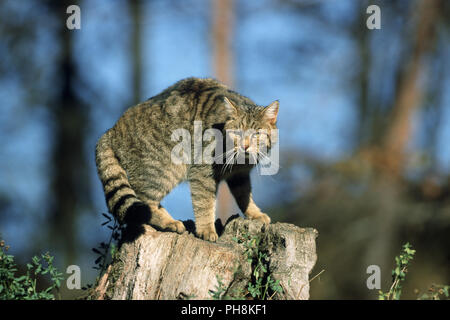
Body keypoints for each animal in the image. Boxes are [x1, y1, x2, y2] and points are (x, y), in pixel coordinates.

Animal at [95, 78, 278, 242]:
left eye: (257, 134)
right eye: (237, 133)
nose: (245, 146)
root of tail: (111, 130)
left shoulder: (240, 176)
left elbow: (244, 196)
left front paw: (255, 213)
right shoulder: (202, 172)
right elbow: (204, 203)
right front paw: (206, 229)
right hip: (162, 171)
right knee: (144, 202)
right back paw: (168, 222)